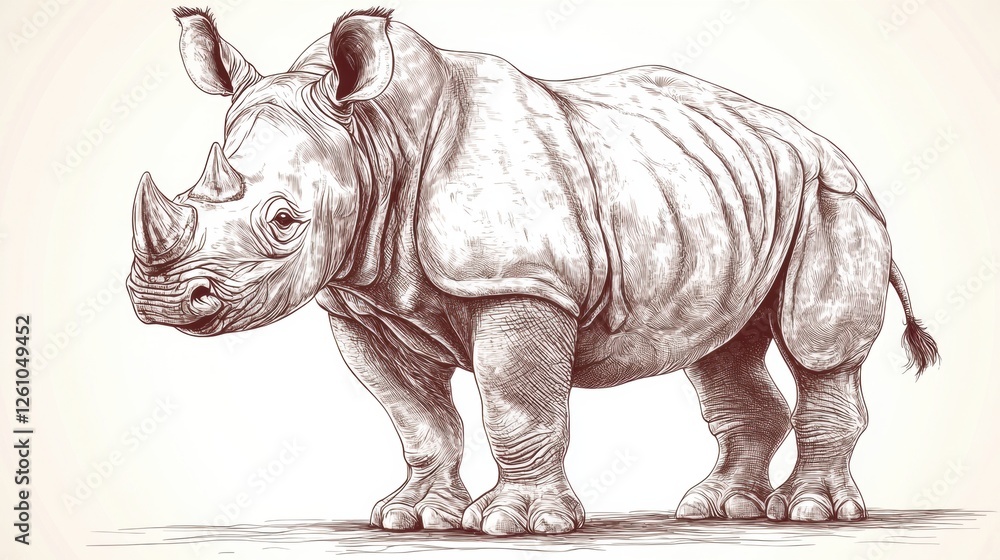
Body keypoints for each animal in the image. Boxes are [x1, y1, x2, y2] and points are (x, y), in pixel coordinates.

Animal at [127, 7, 940, 535]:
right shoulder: (362, 302)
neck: (374, 137)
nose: (162, 301)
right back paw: (718, 508)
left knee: (817, 346)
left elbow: (516, 405)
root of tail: (819, 140)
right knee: (719, 350)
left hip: (834, 195)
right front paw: (412, 518)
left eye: (284, 221)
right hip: (727, 194)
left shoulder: (522, 282)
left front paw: (517, 524)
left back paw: (812, 513)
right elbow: (416, 415)